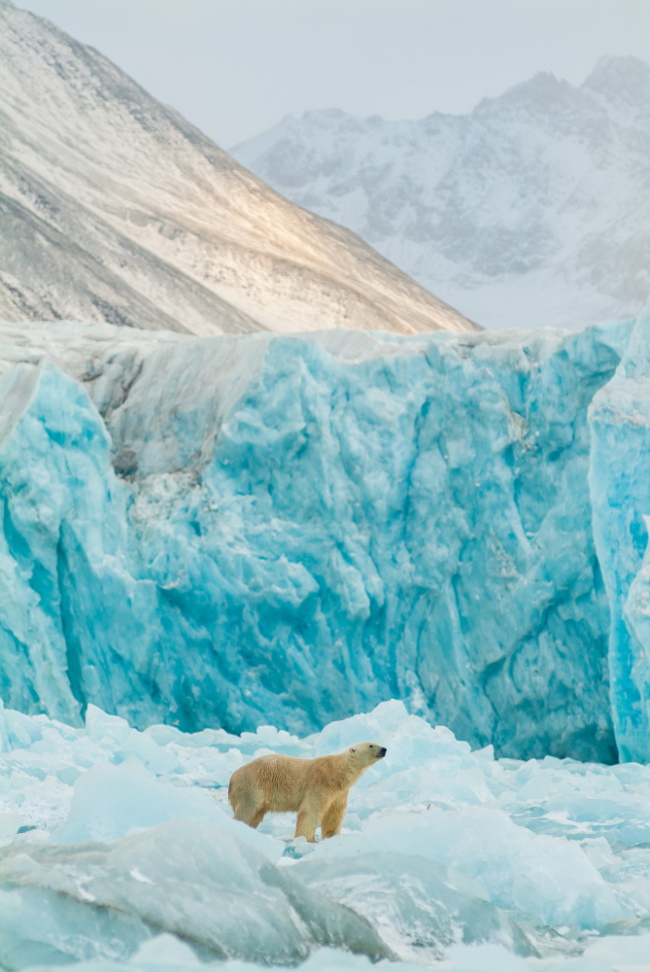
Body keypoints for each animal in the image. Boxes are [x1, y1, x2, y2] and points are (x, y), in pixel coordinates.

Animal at [228, 742, 387, 842]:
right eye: (371, 745)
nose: (384, 749)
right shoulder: (320, 783)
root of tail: (233, 777)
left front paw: (331, 836)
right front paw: (308, 839)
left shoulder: (339, 793)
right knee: (247, 810)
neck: (336, 772)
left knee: (256, 814)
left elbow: (334, 813)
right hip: (253, 787)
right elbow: (311, 811)